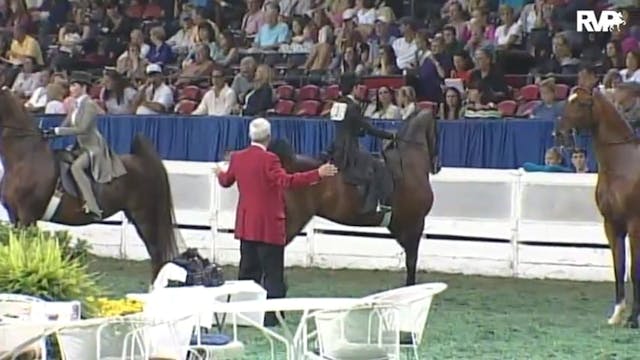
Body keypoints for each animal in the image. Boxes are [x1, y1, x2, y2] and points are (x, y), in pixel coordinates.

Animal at [0, 88, 181, 278]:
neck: (25, 158)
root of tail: (143, 161)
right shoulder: (15, 216)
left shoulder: (28, 217)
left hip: (145, 216)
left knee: (156, 253)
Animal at [268, 111, 438, 286]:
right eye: (436, 131)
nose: (436, 166)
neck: (409, 166)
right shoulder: (415, 224)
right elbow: (412, 262)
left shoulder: (400, 227)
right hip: (292, 221)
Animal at [556, 88, 640, 330]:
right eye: (568, 101)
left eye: (583, 103)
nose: (559, 133)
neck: (623, 164)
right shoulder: (612, 225)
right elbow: (619, 268)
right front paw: (617, 315)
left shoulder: (634, 225)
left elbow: (634, 270)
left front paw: (633, 319)